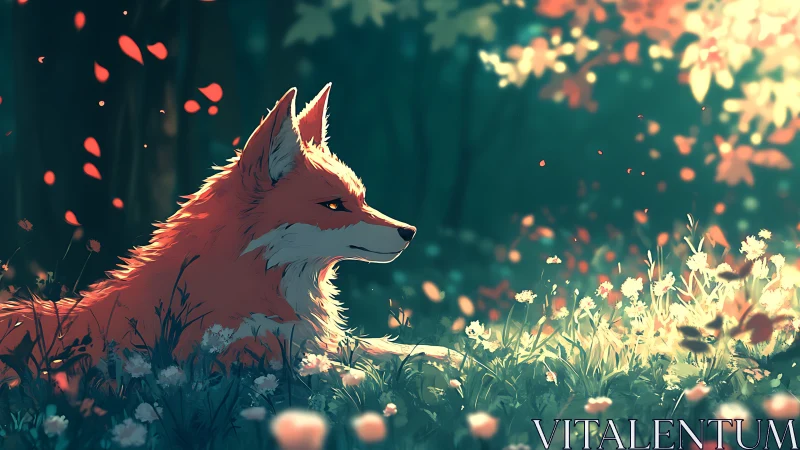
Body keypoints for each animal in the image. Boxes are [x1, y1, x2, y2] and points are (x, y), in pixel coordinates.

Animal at [0, 84, 462, 380]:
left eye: (362, 199)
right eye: (334, 205)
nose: (410, 231)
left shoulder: (312, 338)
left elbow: (396, 351)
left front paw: (456, 359)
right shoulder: (232, 356)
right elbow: (350, 372)